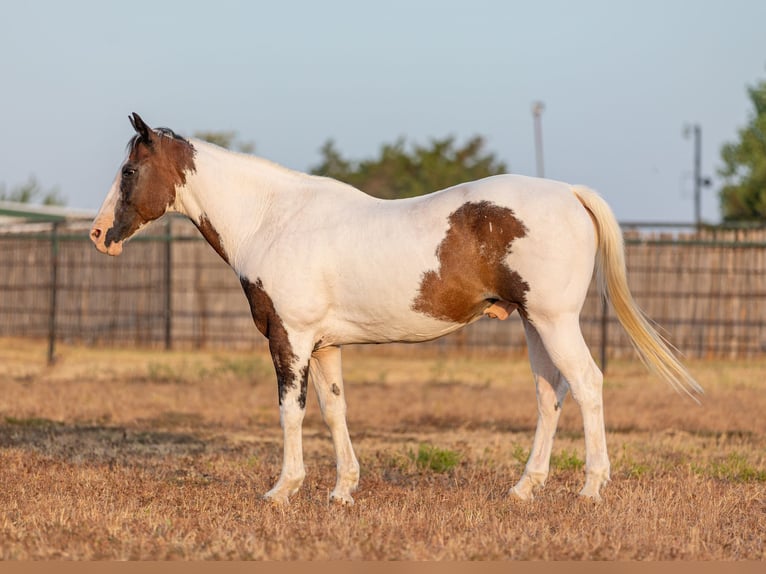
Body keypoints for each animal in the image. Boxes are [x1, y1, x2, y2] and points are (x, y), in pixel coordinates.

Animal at [88, 115, 704, 506]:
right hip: (535, 325)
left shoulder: (290, 338)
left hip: (554, 322)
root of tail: (569, 193)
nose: (98, 235)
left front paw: (283, 490)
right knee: (549, 395)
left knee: (588, 384)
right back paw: (524, 489)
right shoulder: (325, 345)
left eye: (128, 171)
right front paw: (342, 491)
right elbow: (335, 410)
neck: (274, 218)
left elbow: (291, 413)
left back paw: (592, 488)